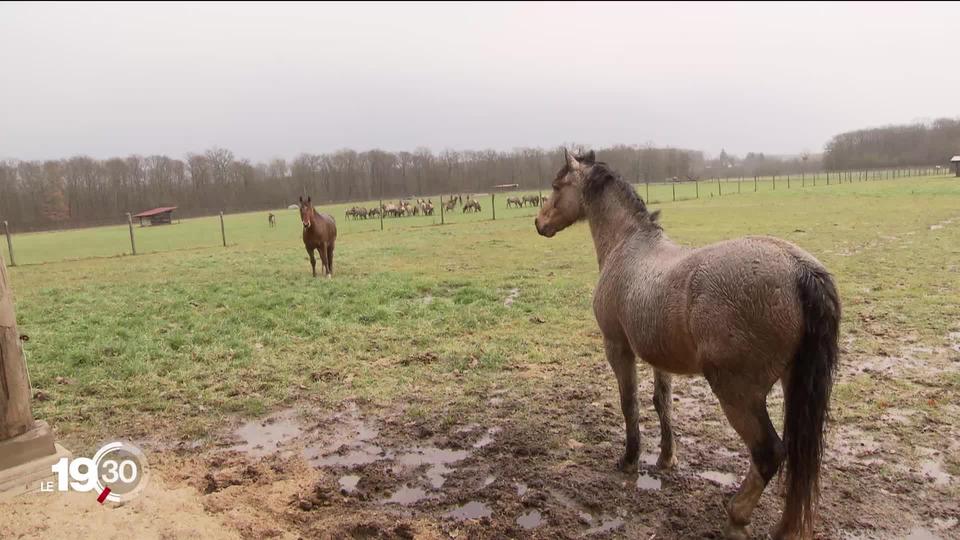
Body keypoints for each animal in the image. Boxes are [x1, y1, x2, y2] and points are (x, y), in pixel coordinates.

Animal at [532, 149, 840, 540]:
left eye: (557, 186)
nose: (539, 222)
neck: (628, 247)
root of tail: (800, 270)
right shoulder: (658, 357)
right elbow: (662, 403)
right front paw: (666, 457)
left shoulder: (618, 348)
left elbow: (629, 404)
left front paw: (629, 458)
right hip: (792, 384)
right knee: (798, 455)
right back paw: (785, 527)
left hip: (737, 393)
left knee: (769, 453)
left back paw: (737, 515)